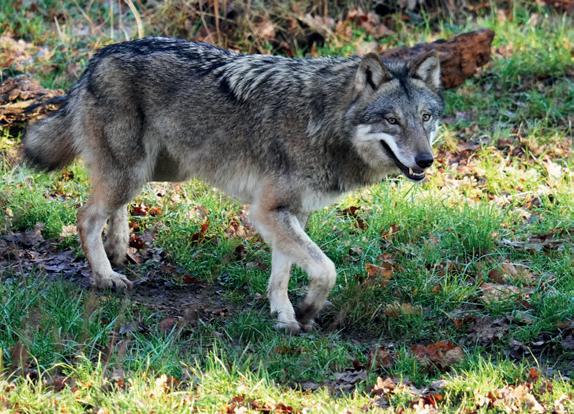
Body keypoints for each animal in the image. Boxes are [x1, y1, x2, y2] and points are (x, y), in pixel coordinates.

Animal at [23, 37, 443, 333]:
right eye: (392, 120)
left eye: (425, 118)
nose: (426, 161)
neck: (324, 121)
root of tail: (98, 57)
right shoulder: (267, 211)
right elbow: (326, 269)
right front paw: (306, 310)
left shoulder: (290, 213)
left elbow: (283, 274)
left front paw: (285, 316)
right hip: (131, 172)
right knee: (86, 216)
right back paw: (106, 276)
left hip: (154, 172)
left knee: (111, 208)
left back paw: (119, 246)